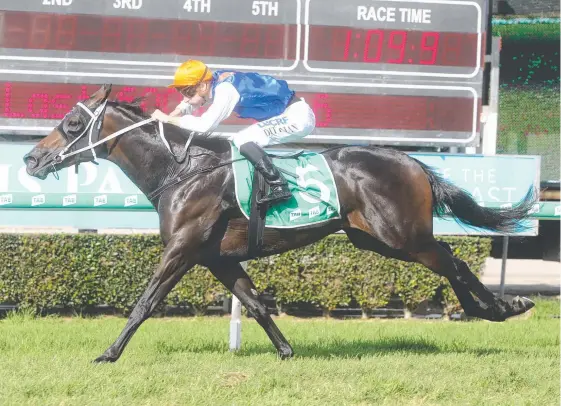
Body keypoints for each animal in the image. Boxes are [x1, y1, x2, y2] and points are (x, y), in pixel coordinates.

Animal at [21, 84, 536, 364]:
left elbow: (145, 304)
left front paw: (108, 353)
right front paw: (287, 352)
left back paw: (502, 307)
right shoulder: (216, 258)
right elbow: (255, 304)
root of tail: (410, 160)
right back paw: (493, 308)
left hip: (402, 235)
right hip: (373, 239)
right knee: (450, 262)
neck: (180, 171)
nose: (31, 158)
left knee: (453, 261)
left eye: (71, 124)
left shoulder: (182, 250)